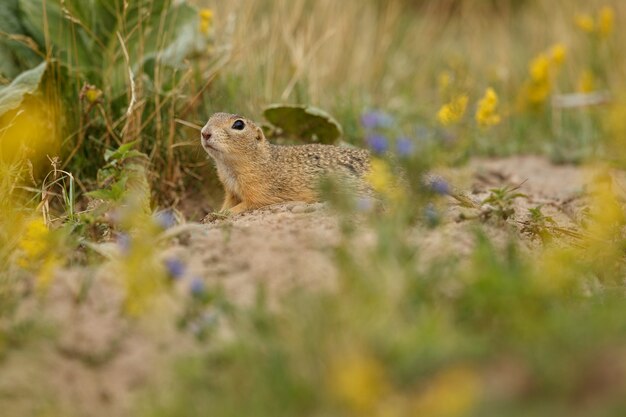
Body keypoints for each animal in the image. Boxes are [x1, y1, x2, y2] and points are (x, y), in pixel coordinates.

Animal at [200, 112, 368, 213]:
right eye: (211, 117)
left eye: (239, 125)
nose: (205, 133)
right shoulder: (231, 192)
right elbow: (228, 203)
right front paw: (215, 213)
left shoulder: (261, 191)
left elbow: (247, 204)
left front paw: (223, 214)